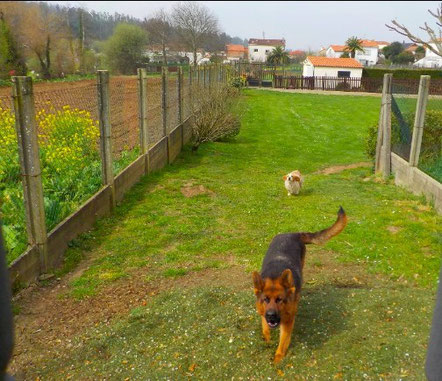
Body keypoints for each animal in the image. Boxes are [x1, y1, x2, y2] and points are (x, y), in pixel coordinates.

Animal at [254, 208, 348, 362]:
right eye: (265, 299)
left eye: (280, 300)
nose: (271, 316)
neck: (275, 275)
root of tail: (294, 234)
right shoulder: (263, 312)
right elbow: (265, 327)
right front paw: (267, 339)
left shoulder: (287, 321)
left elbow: (282, 343)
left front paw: (277, 360)